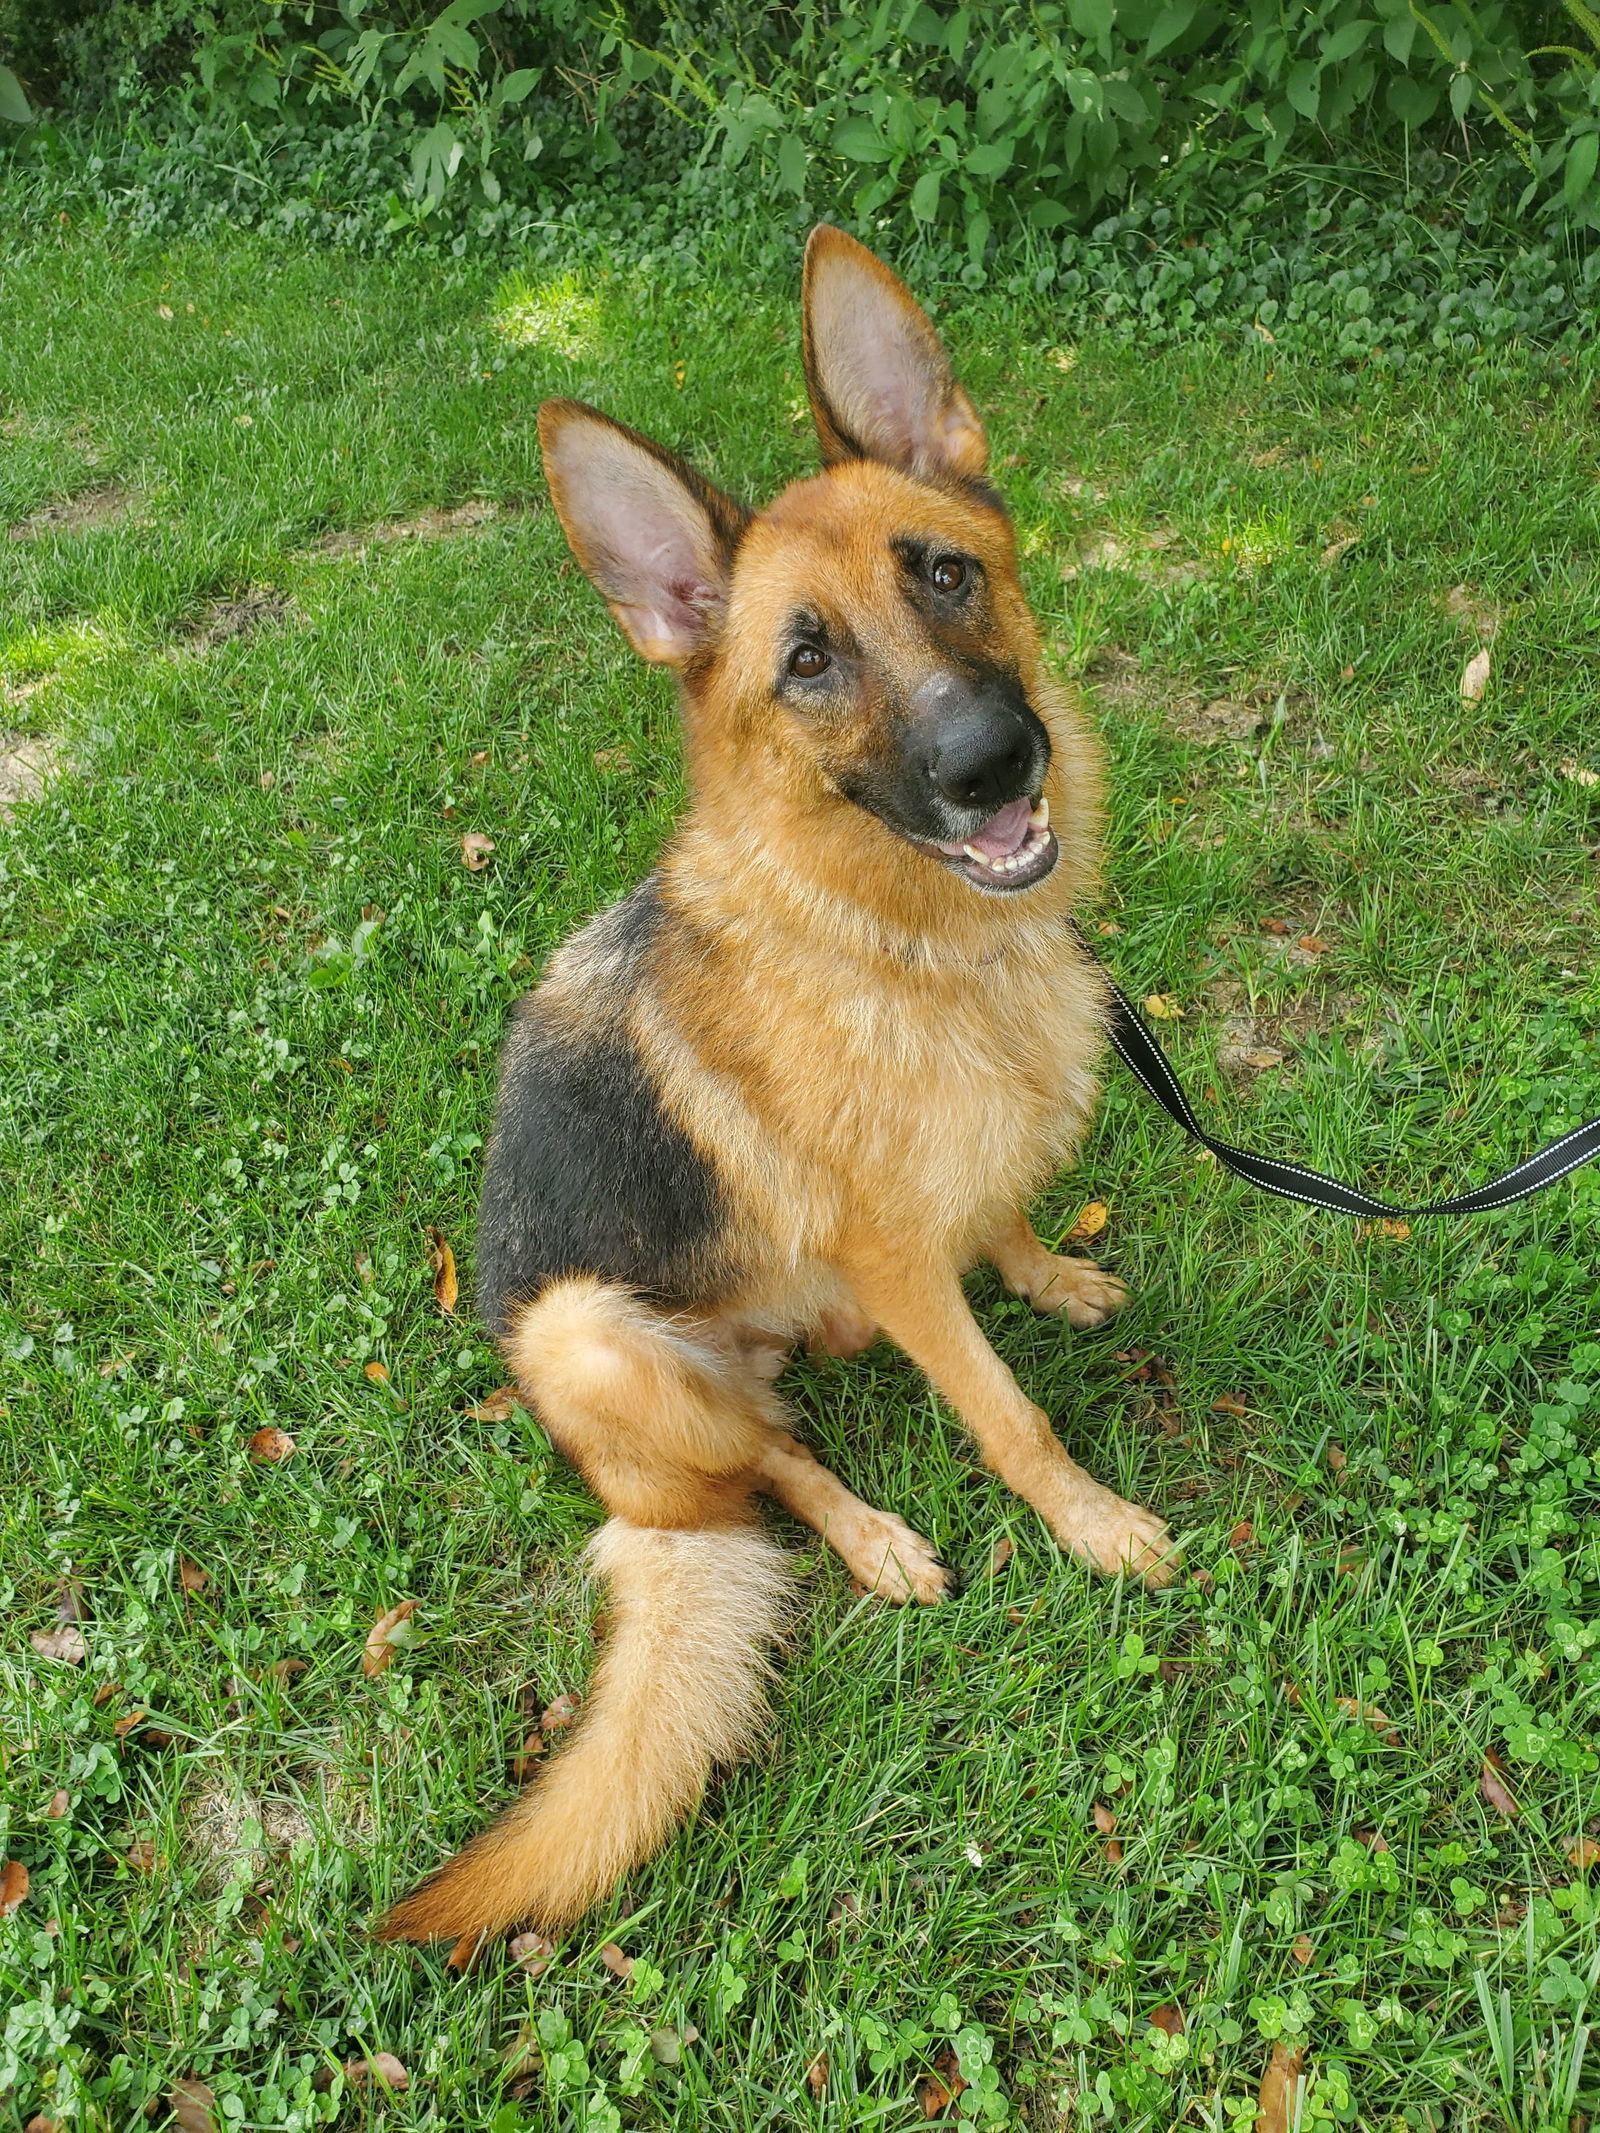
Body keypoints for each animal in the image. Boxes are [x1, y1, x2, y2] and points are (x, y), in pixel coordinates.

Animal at [375, 225, 1177, 1953]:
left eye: (943, 572)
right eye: (805, 659)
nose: (994, 765)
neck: (906, 940)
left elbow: (1000, 1220)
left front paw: (1046, 1268)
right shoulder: (890, 1255)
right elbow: (1007, 1414)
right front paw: (1090, 1523)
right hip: (594, 1336)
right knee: (770, 1464)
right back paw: (874, 1537)